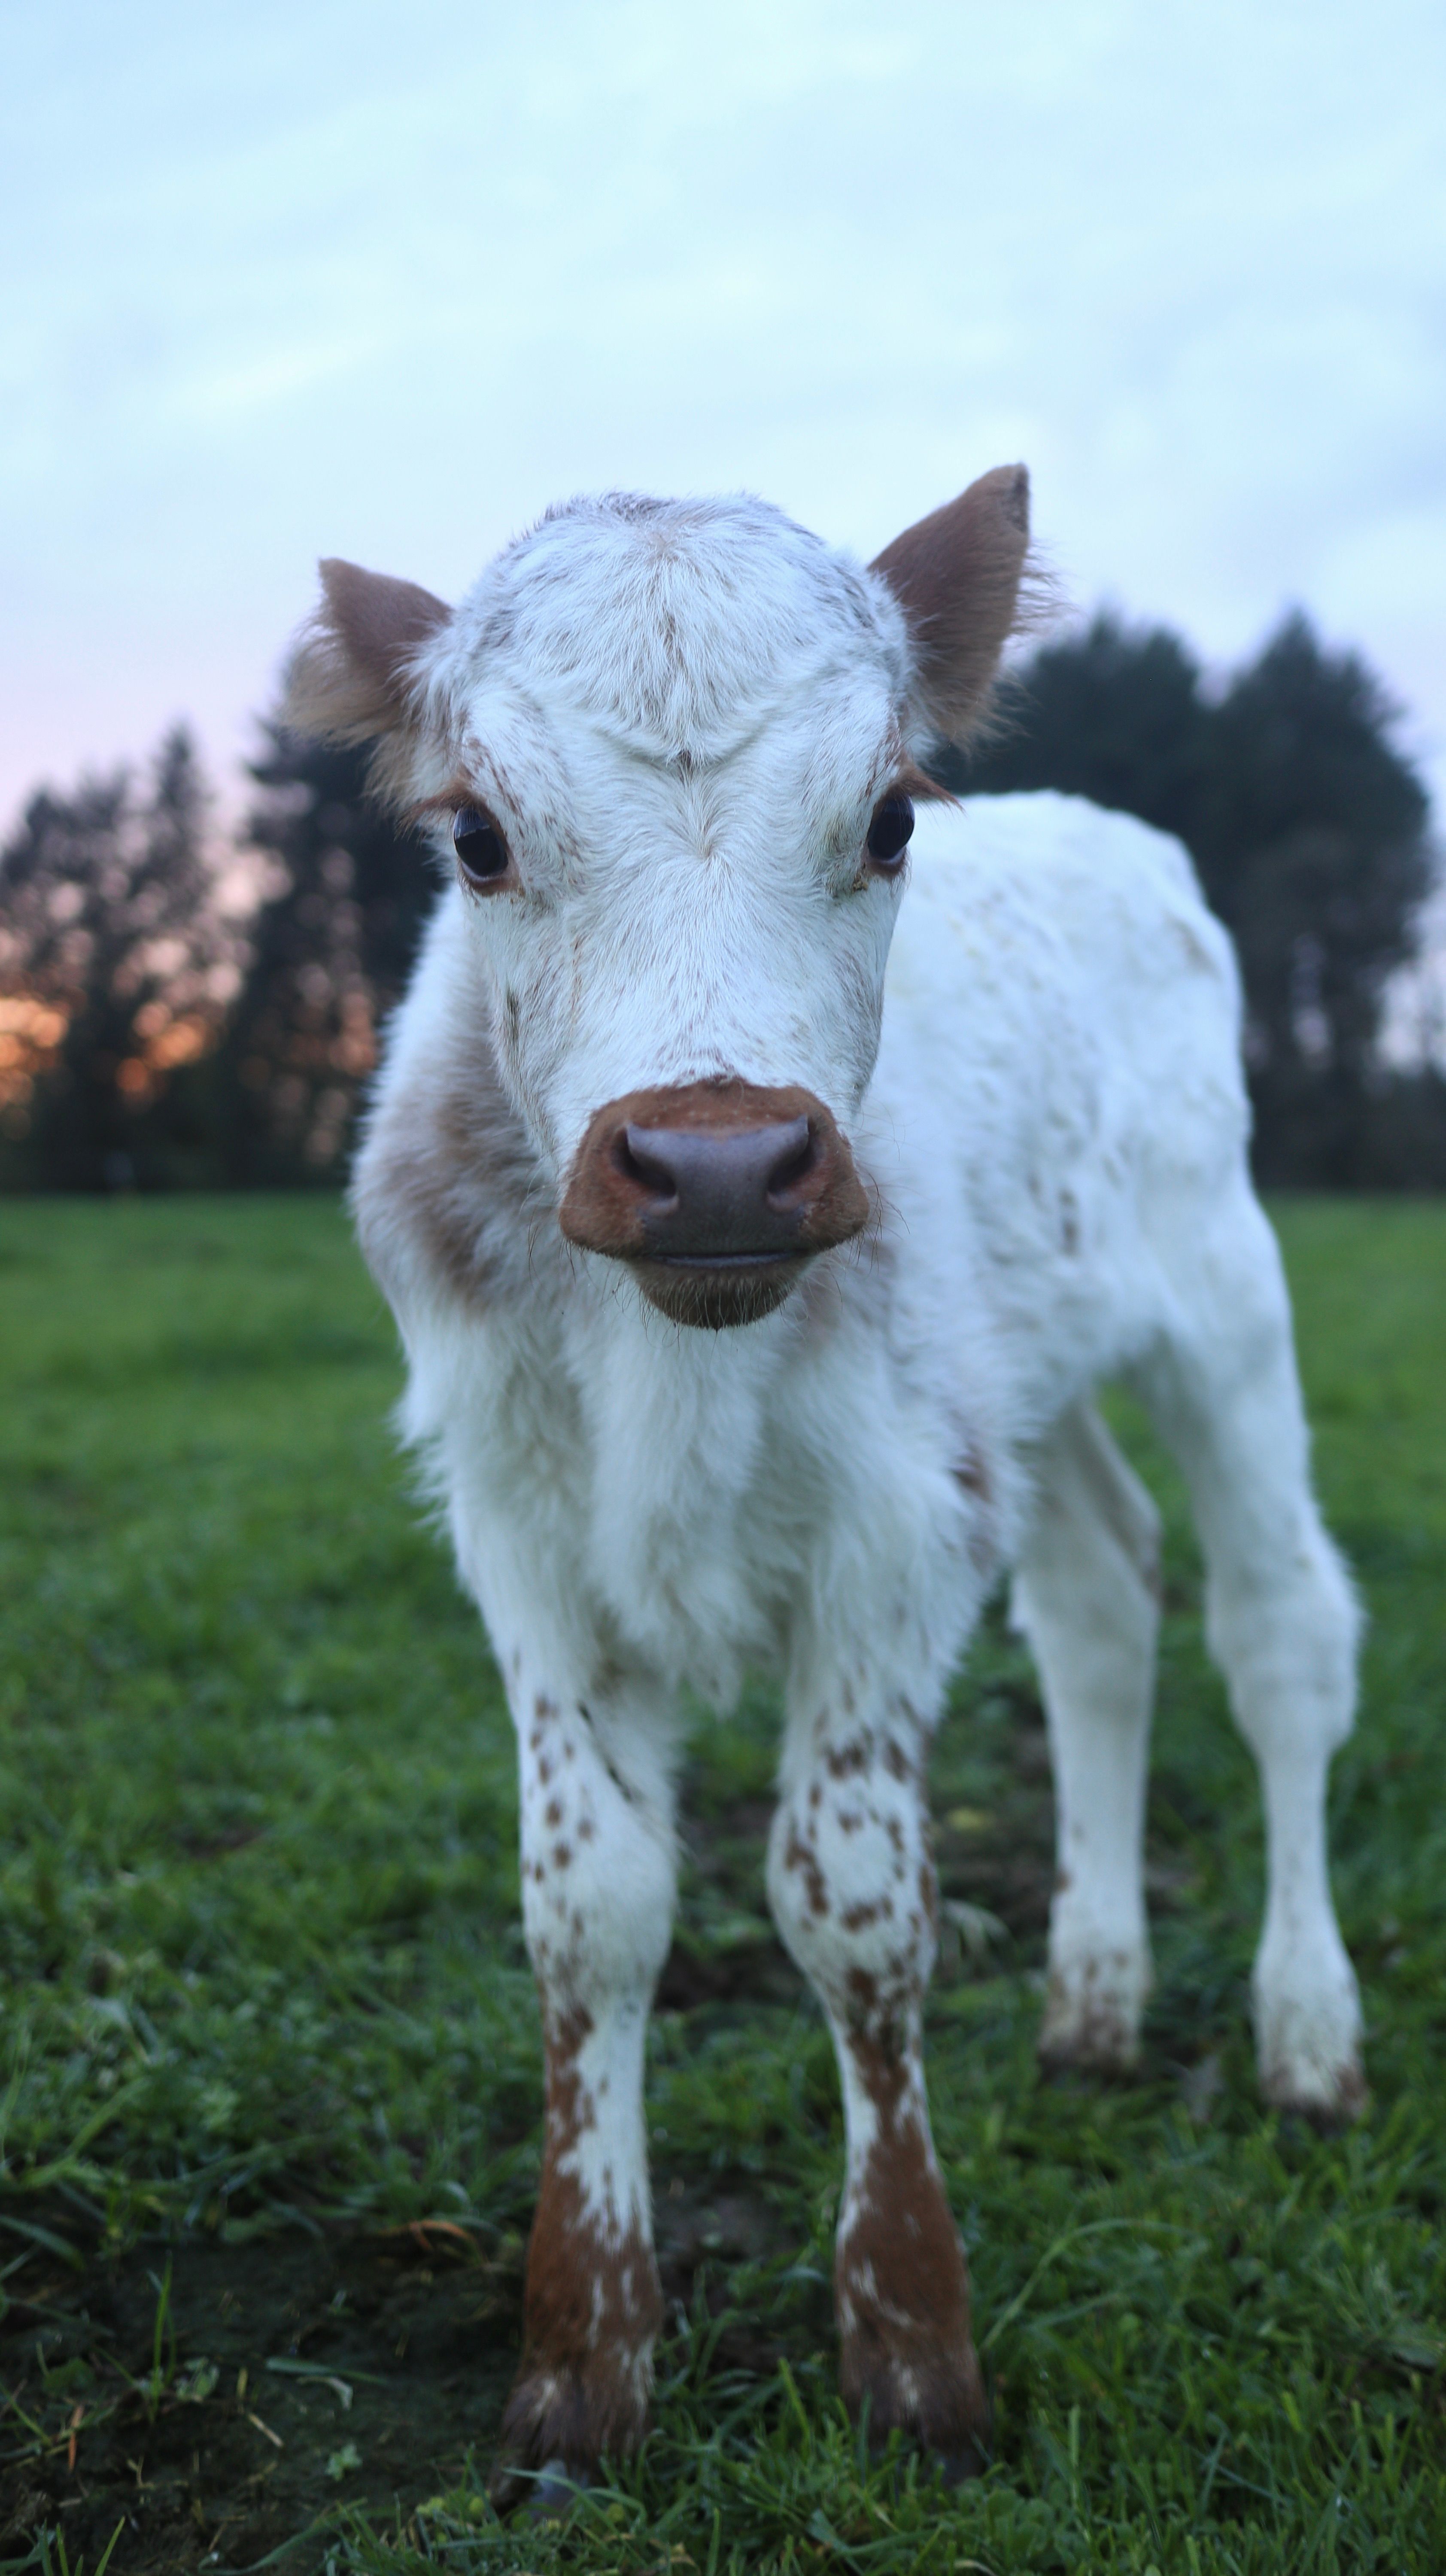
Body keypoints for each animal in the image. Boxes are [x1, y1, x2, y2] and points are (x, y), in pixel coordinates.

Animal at [283, 468, 1364, 2500]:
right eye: (476, 832)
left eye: (886, 816)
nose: (717, 1164)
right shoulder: (523, 1526)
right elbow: (591, 1901)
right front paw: (583, 2358)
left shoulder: (892, 1518)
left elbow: (853, 1898)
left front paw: (914, 2350)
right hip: (1024, 1378)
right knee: (1100, 1597)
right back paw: (1094, 1998)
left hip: (1226, 1302)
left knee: (1277, 1637)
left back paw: (1306, 2028)